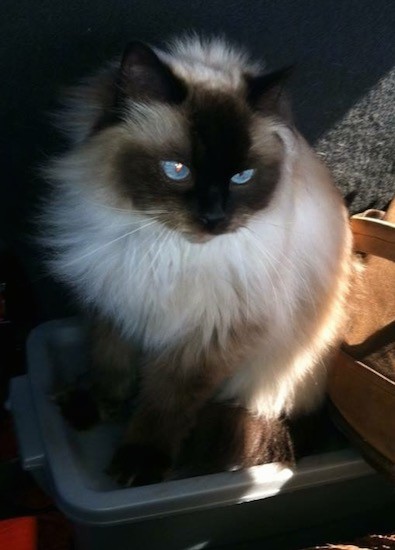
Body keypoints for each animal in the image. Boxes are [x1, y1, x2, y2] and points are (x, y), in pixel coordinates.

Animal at [42, 34, 352, 486]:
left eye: (241, 177)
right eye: (177, 170)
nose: (214, 217)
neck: (164, 248)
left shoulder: (207, 336)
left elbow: (165, 406)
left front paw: (139, 464)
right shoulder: (113, 299)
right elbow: (110, 365)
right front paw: (99, 403)